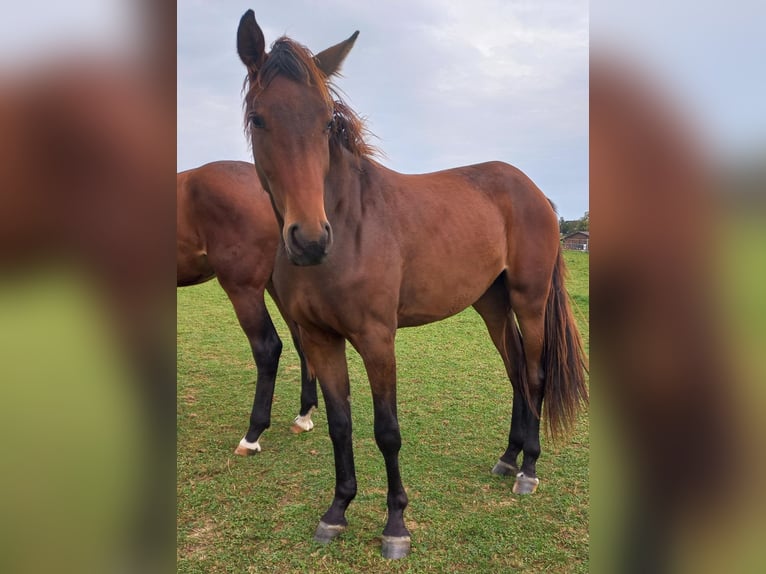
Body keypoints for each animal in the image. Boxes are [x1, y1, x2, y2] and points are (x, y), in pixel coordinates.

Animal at [237, 7, 592, 560]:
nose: (311, 239)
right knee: (514, 370)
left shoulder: (377, 338)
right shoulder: (319, 338)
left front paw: (395, 525)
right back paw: (508, 457)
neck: (350, 221)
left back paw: (529, 470)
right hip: (491, 304)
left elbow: (387, 431)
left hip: (529, 300)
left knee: (534, 374)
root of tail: (533, 191)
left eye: (327, 121)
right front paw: (336, 511)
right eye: (259, 118)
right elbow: (340, 424)